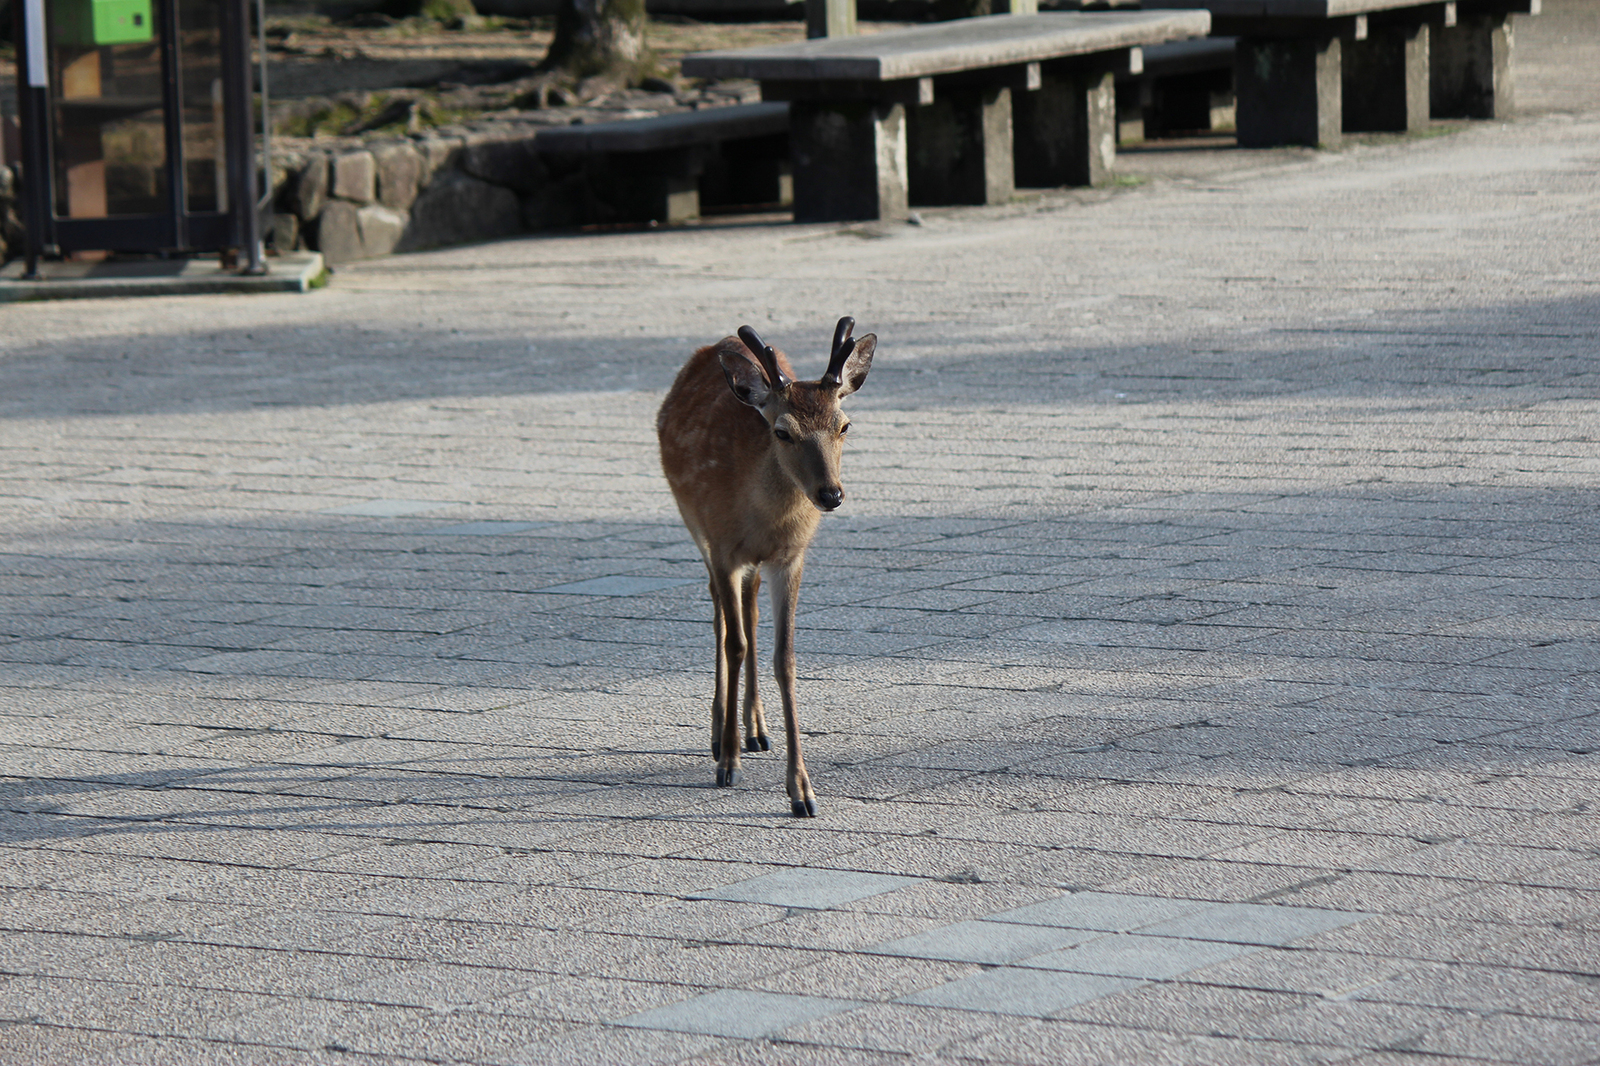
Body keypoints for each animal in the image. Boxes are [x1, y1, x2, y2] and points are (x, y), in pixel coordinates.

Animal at [656, 315, 876, 813]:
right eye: (782, 431)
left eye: (845, 425)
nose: (830, 494)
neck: (761, 517)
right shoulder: (722, 546)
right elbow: (733, 642)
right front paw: (727, 764)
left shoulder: (789, 557)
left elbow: (785, 657)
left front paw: (802, 791)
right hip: (692, 521)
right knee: (720, 615)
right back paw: (720, 734)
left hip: (750, 563)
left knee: (749, 609)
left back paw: (756, 729)